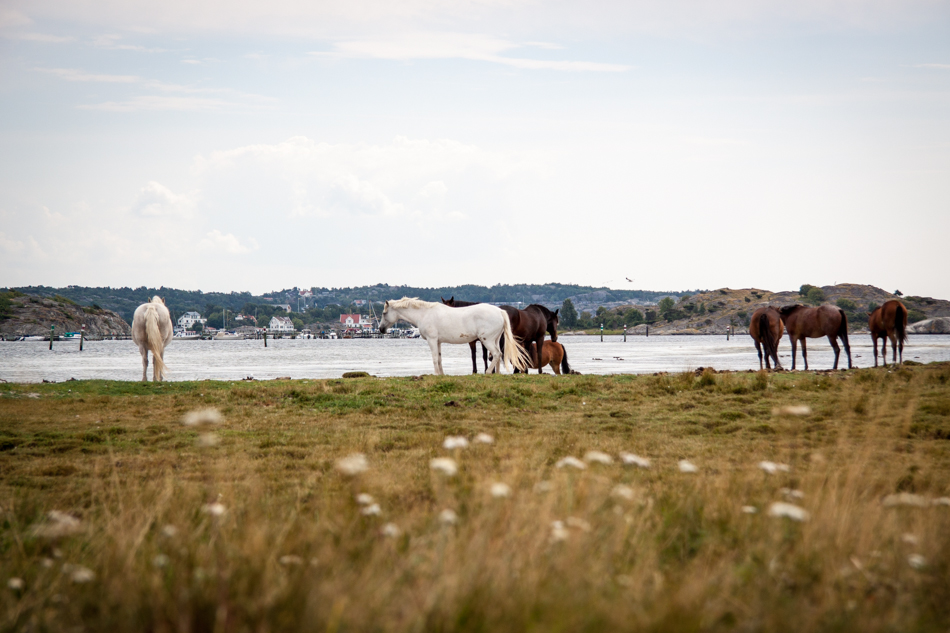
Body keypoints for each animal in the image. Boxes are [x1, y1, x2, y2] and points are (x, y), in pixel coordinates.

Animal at [380, 298, 532, 376]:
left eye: (384, 313)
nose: (381, 329)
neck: (424, 313)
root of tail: (500, 311)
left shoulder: (432, 340)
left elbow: (434, 358)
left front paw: (436, 375)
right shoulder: (438, 342)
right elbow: (439, 358)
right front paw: (441, 374)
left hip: (487, 340)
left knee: (496, 354)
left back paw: (488, 372)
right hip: (494, 339)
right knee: (499, 355)